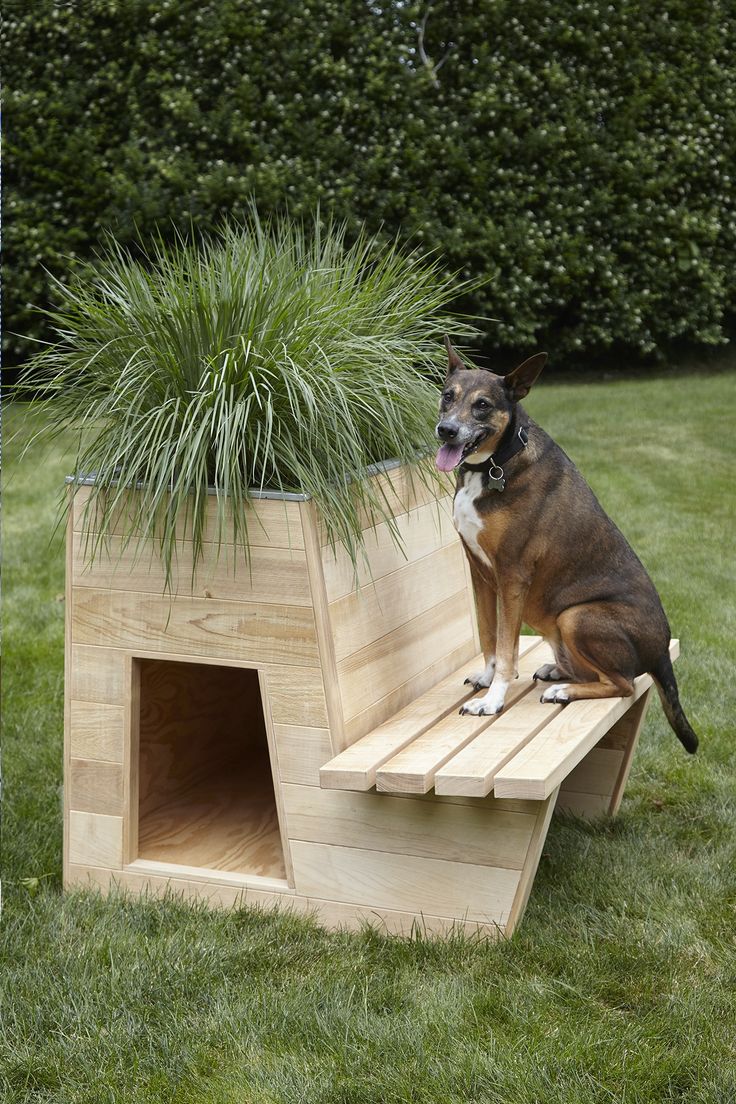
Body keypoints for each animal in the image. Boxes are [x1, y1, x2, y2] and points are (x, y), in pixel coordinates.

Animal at [434, 335, 701, 750]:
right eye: (448, 396)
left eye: (483, 405)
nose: (446, 430)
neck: (495, 464)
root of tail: (661, 651)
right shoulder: (479, 571)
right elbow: (488, 635)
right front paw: (486, 678)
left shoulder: (512, 574)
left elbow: (507, 649)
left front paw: (492, 701)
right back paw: (557, 671)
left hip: (575, 616)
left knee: (623, 684)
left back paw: (564, 691)